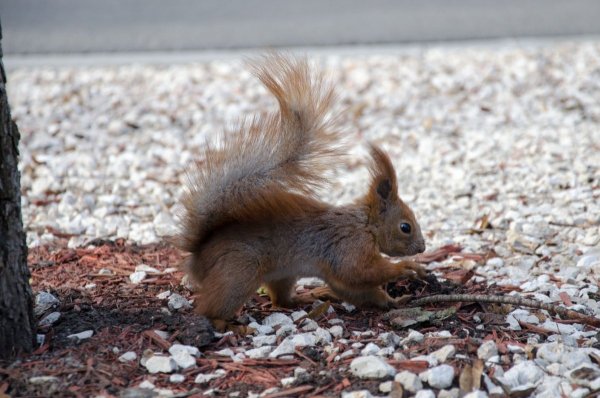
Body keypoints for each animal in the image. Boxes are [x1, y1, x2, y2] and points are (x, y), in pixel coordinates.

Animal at [173, 54, 426, 324]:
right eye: (405, 227)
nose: (422, 248)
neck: (365, 224)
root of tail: (198, 256)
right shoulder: (349, 246)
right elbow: (359, 272)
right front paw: (405, 268)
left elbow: (355, 289)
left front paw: (395, 301)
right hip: (239, 272)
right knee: (209, 309)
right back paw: (228, 324)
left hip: (281, 275)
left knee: (280, 300)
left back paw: (307, 297)